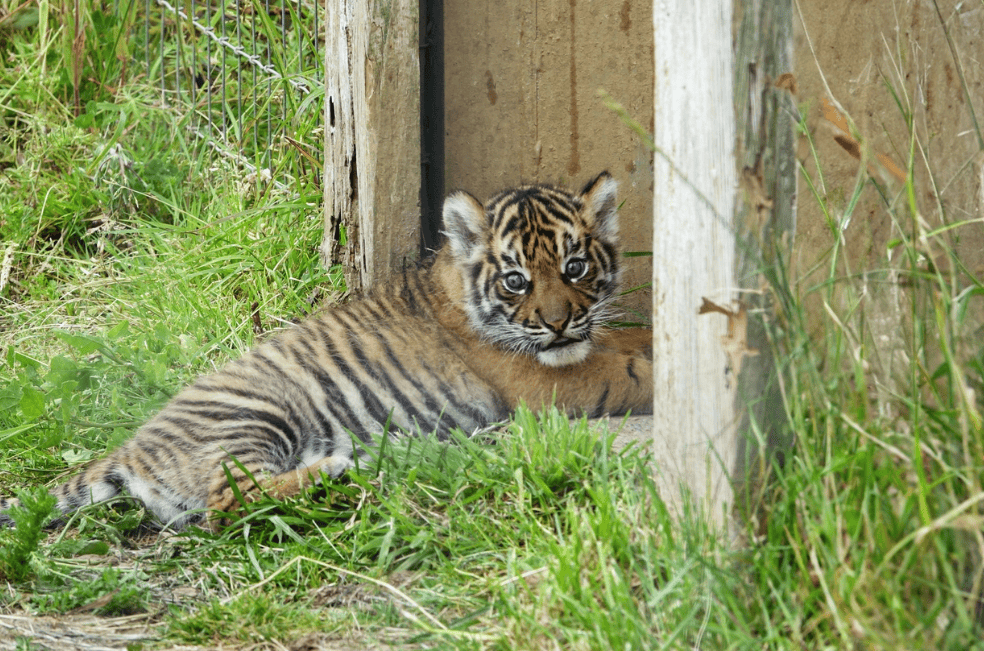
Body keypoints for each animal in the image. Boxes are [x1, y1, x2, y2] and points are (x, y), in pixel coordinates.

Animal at [0, 172, 653, 531]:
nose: (559, 323)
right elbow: (634, 371)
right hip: (257, 415)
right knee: (227, 503)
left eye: (574, 268)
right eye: (516, 281)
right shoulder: (546, 382)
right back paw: (339, 468)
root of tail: (132, 447)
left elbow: (629, 340)